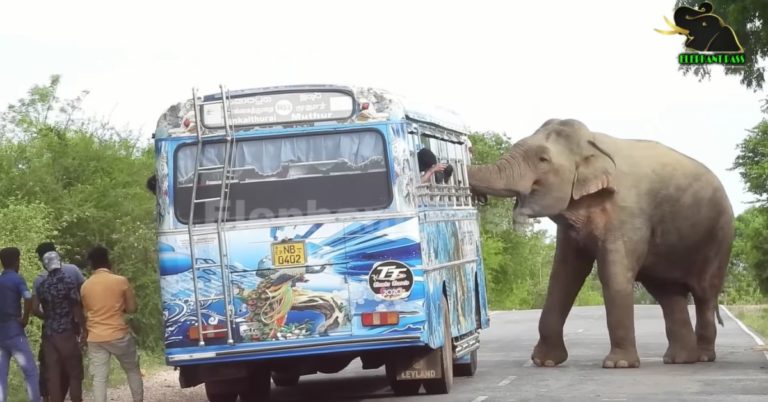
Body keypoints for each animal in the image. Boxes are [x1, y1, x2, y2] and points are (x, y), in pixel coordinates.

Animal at [464, 118, 736, 370]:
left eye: (543, 159)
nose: (477, 196)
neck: (592, 142)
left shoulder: (627, 211)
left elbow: (613, 275)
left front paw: (619, 365)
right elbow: (563, 276)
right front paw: (545, 362)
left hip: (719, 236)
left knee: (703, 293)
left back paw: (703, 357)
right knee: (668, 294)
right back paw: (679, 359)